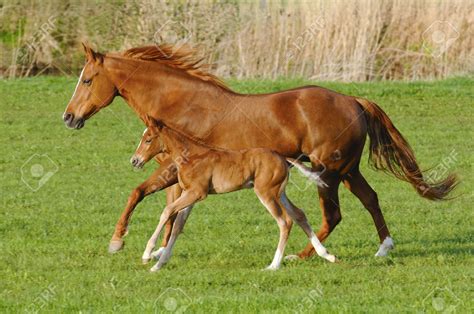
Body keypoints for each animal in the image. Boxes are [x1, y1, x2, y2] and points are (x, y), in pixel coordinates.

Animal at [131, 116, 336, 272]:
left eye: (148, 139)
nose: (134, 160)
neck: (190, 156)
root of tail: (282, 158)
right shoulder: (190, 195)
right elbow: (177, 226)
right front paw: (159, 264)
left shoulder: (197, 192)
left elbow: (167, 211)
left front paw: (147, 254)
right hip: (280, 193)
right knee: (299, 214)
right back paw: (327, 255)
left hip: (266, 193)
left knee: (285, 221)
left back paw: (273, 265)